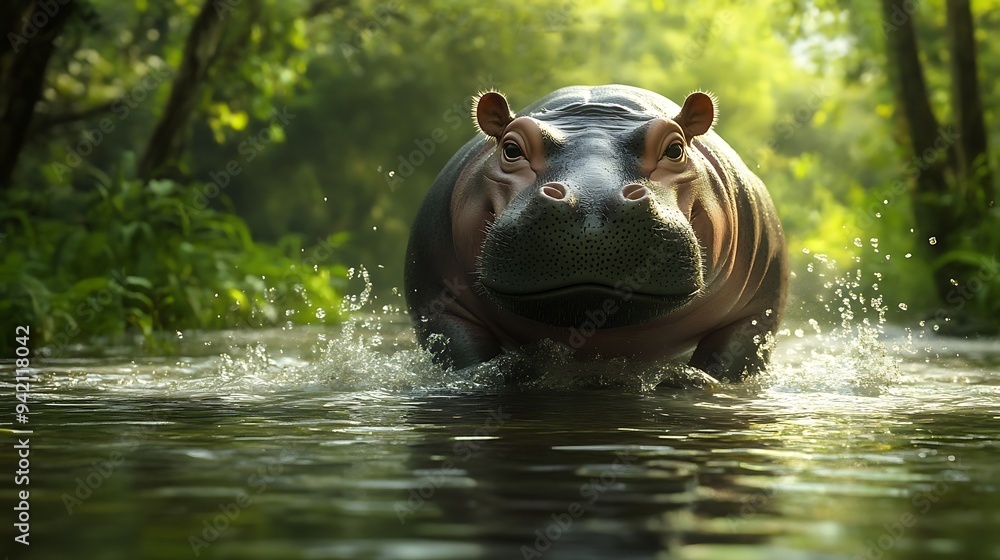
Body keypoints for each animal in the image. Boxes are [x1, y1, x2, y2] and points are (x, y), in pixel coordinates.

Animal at [404, 85, 787, 382]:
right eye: (511, 149)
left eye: (675, 149)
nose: (593, 204)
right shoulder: (440, 305)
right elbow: (464, 353)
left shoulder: (755, 313)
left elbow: (731, 359)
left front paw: (689, 381)